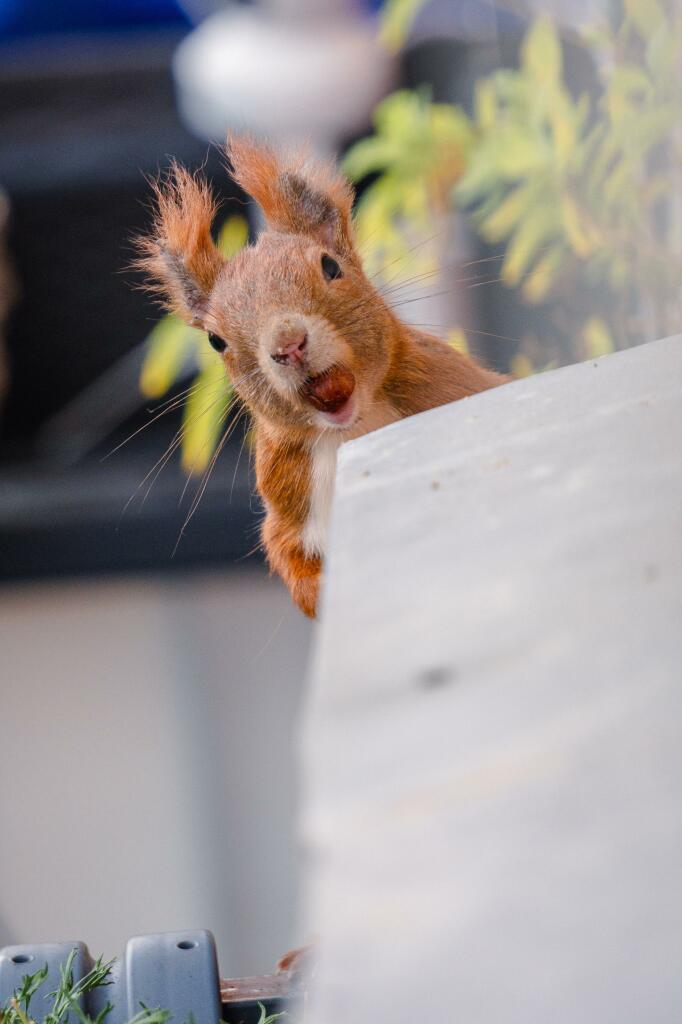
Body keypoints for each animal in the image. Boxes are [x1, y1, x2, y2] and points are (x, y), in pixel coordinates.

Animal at [137, 135, 503, 614]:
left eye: (331, 267)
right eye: (216, 340)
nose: (288, 343)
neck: (354, 428)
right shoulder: (289, 507)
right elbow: (289, 557)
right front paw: (324, 589)